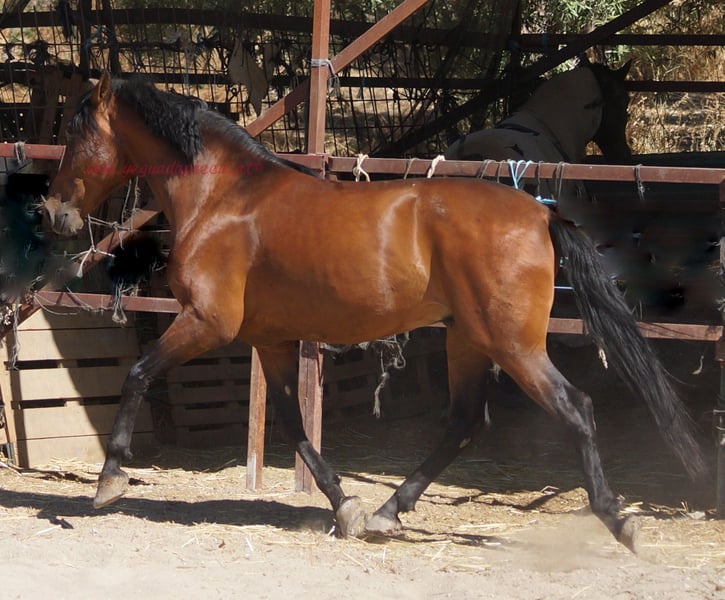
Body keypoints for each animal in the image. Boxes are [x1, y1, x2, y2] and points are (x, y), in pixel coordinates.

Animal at [43, 74, 705, 553]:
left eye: (76, 135)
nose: (54, 213)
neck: (224, 198)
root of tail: (542, 213)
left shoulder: (207, 323)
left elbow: (138, 375)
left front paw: (109, 481)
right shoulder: (271, 341)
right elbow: (294, 425)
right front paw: (347, 507)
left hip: (513, 345)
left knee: (574, 408)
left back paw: (619, 521)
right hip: (467, 341)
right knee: (464, 423)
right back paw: (389, 511)